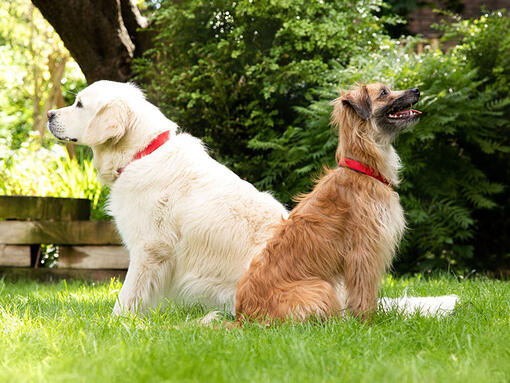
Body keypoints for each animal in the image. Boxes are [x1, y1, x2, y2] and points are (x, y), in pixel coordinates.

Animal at [48, 81, 288, 316]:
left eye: (79, 104)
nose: (49, 114)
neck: (142, 153)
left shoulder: (148, 247)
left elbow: (128, 294)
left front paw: (116, 320)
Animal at [235, 82, 422, 322]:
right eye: (383, 93)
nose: (417, 90)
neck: (364, 168)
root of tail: (244, 316)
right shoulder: (363, 250)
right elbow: (364, 291)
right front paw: (368, 321)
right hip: (321, 288)